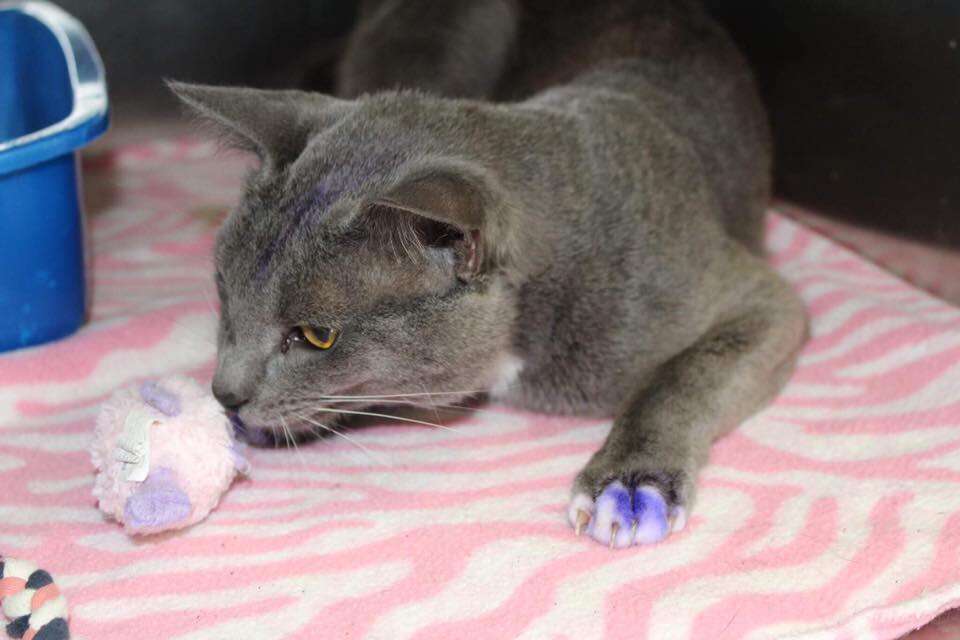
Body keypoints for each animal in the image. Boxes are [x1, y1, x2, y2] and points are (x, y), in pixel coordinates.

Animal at [171, 0, 808, 552]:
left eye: (316, 336)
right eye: (224, 290)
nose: (224, 392)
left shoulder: (760, 299)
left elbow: (683, 375)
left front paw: (630, 487)